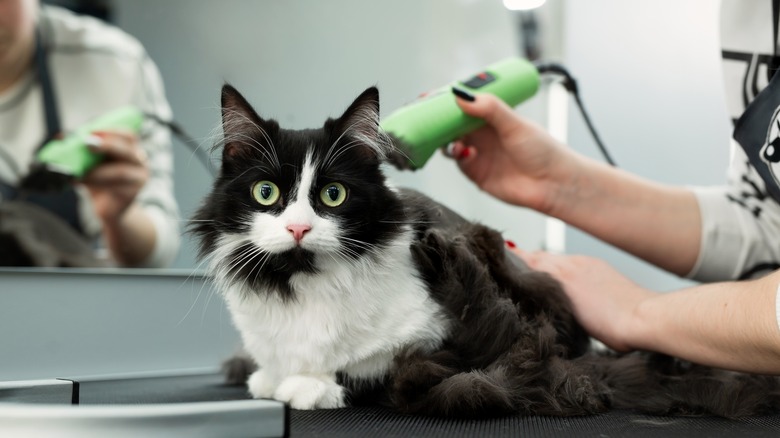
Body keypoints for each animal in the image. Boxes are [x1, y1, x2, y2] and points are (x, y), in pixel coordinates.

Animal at [192, 83, 780, 418]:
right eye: (266, 193)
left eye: (332, 195)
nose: (297, 229)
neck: (302, 281)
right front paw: (270, 377)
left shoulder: (430, 343)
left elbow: (374, 374)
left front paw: (308, 387)